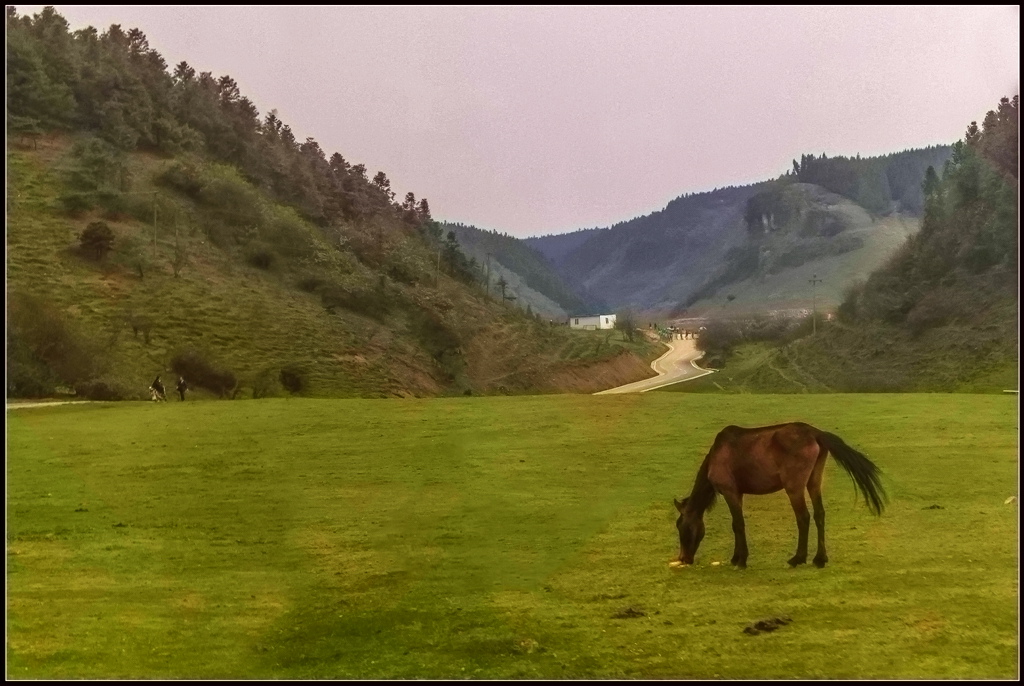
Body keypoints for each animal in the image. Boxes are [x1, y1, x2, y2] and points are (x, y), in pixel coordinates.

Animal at [675, 423, 884, 569]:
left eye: (681, 527)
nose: (683, 558)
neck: (717, 454)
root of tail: (815, 433)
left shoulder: (730, 492)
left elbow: (738, 524)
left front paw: (741, 560)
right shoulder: (738, 494)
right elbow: (736, 525)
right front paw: (736, 557)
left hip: (794, 488)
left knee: (803, 517)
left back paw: (798, 558)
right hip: (813, 482)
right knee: (819, 515)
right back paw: (819, 559)